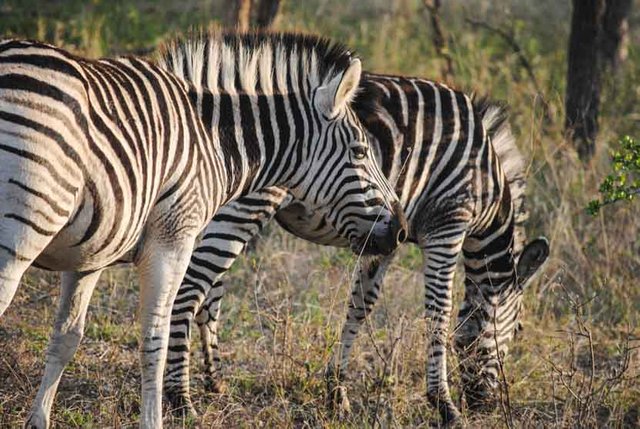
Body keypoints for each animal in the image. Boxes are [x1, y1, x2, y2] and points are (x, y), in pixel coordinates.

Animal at [0, 33, 404, 428]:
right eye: (360, 152)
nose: (399, 231)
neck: (214, 141)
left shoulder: (91, 255)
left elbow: (66, 336)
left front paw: (38, 420)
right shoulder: (172, 241)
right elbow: (155, 340)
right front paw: (156, 419)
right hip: (21, 230)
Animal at [162, 72, 548, 422]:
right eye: (518, 329)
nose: (487, 405)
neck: (486, 185)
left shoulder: (387, 235)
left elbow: (361, 304)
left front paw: (337, 390)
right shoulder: (448, 224)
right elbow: (439, 311)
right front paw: (443, 404)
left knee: (210, 292)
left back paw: (215, 381)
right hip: (245, 205)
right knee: (192, 287)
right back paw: (180, 397)